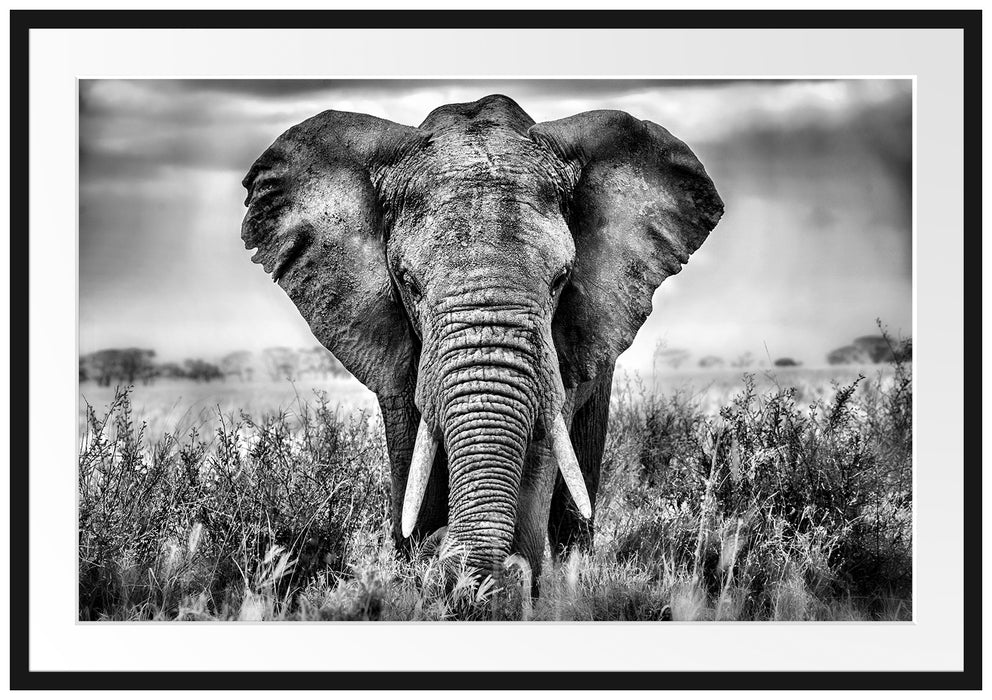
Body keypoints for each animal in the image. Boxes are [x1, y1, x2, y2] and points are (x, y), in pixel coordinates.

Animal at [240, 94, 723, 586]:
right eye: (409, 283)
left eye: (561, 280)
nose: (444, 550)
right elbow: (412, 453)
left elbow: (540, 450)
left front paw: (508, 583)